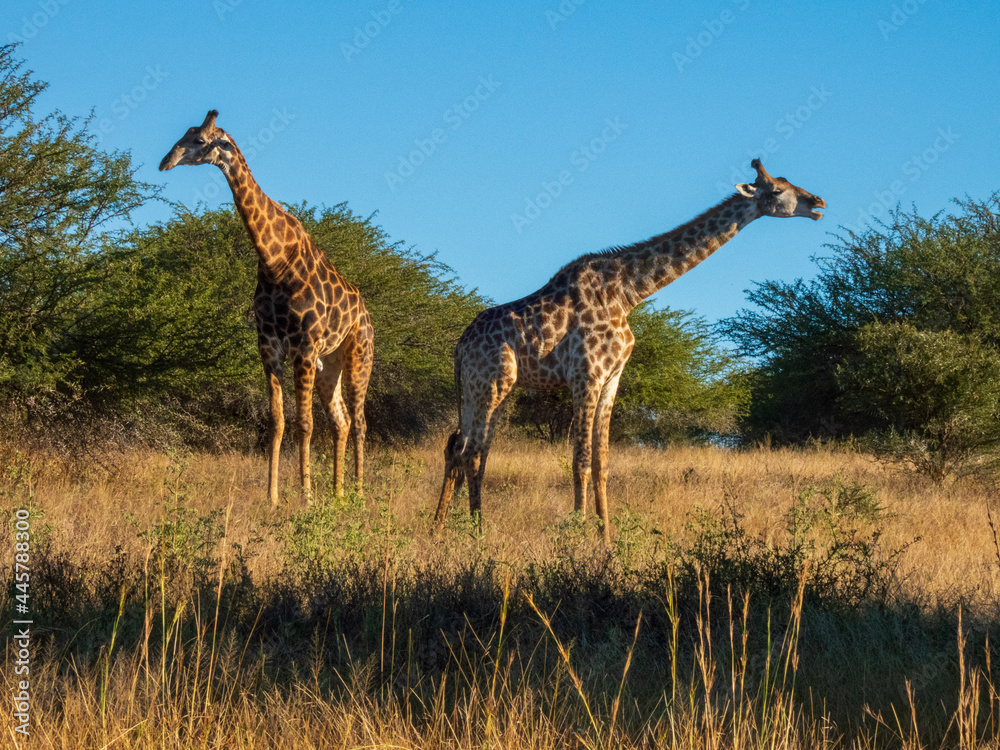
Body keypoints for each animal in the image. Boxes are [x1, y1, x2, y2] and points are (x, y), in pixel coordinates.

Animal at [158, 110, 374, 506]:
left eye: (199, 140)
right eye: (184, 135)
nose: (165, 161)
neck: (274, 259)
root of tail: (366, 314)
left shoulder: (303, 345)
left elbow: (304, 424)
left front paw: (306, 498)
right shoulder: (269, 345)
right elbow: (277, 421)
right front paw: (272, 497)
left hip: (358, 356)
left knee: (360, 421)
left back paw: (358, 494)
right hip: (329, 365)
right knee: (342, 421)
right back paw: (337, 494)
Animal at [434, 160, 824, 548]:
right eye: (777, 190)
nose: (818, 203)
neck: (627, 293)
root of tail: (459, 346)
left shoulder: (611, 379)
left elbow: (602, 463)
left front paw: (606, 537)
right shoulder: (586, 376)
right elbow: (580, 460)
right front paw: (578, 534)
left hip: (483, 389)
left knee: (461, 447)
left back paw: (441, 527)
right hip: (493, 383)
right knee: (471, 452)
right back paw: (475, 532)